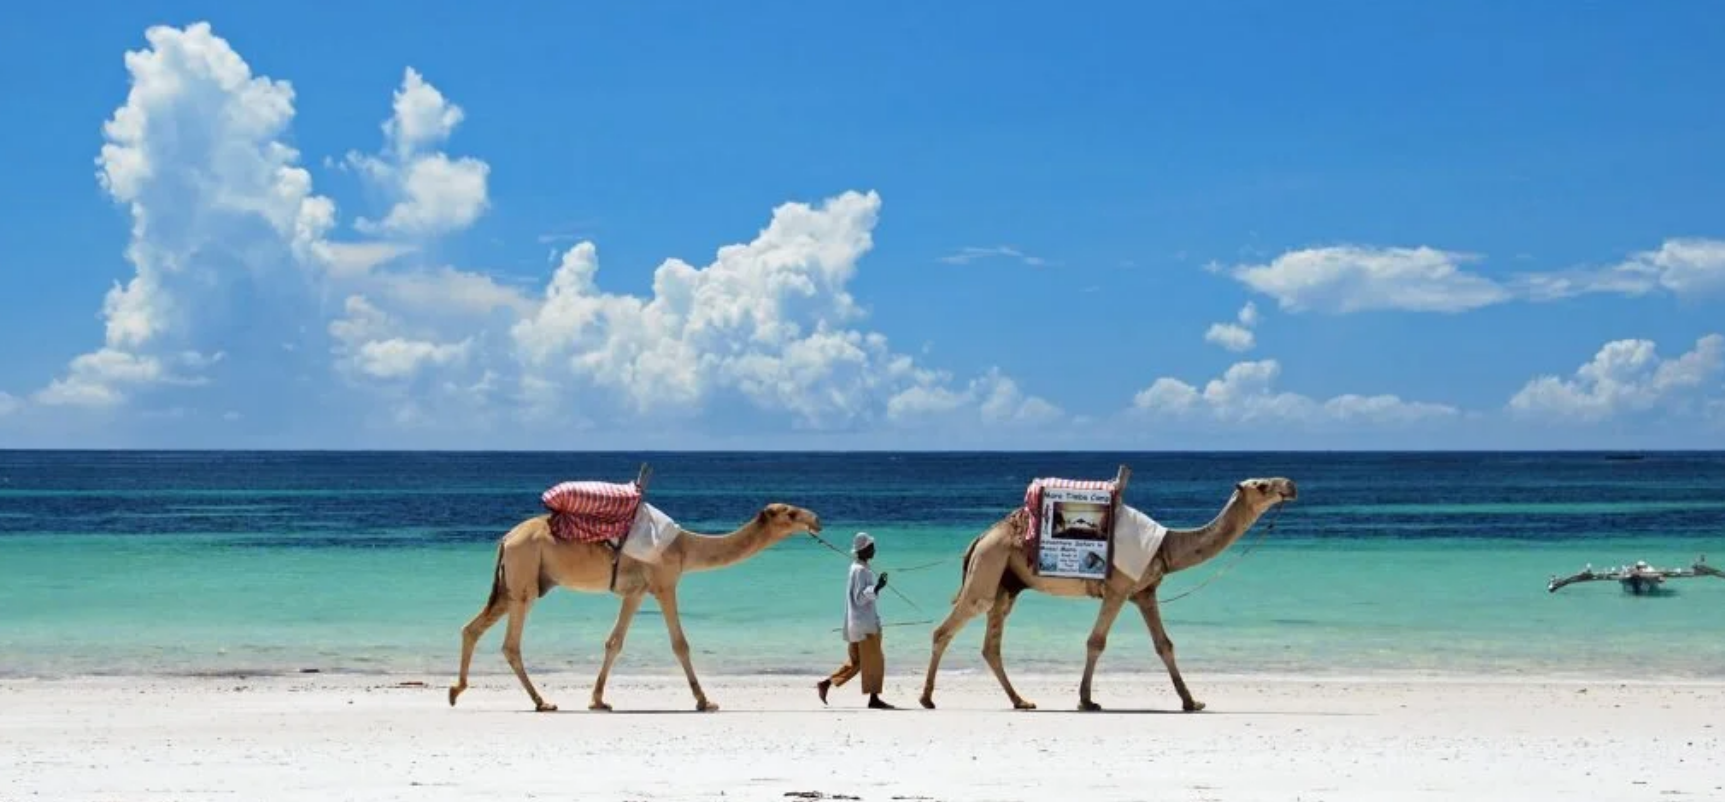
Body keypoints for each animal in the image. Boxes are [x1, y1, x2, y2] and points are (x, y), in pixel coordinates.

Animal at [448, 500, 822, 712]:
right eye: (790, 512)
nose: (816, 519)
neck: (685, 546)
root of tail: (506, 538)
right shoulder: (665, 583)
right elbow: (680, 644)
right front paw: (704, 701)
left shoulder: (636, 592)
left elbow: (614, 642)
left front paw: (598, 700)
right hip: (524, 580)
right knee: (510, 644)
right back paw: (543, 702)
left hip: (512, 585)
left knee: (472, 628)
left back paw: (456, 690)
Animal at [919, 476, 1297, 712]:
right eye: (1262, 485)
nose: (1290, 486)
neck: (1166, 546)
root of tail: (980, 538)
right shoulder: (1118, 588)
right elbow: (1096, 642)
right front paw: (1087, 701)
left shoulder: (1144, 592)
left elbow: (1164, 645)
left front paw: (1191, 702)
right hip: (988, 567)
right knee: (946, 628)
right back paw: (926, 698)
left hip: (1006, 584)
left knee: (991, 644)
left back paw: (1021, 700)